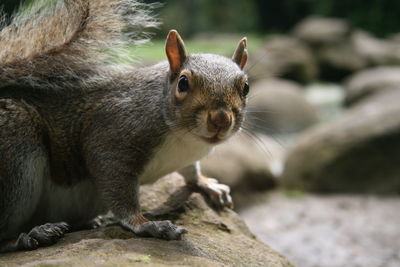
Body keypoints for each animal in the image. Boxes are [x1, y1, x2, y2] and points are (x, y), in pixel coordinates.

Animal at [0, 0, 248, 253]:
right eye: (183, 83)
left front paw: (207, 184)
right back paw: (30, 236)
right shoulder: (111, 135)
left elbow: (191, 171)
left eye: (245, 87)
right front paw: (146, 224)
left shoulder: (187, 156)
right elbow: (118, 187)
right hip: (15, 151)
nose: (220, 120)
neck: (184, 139)